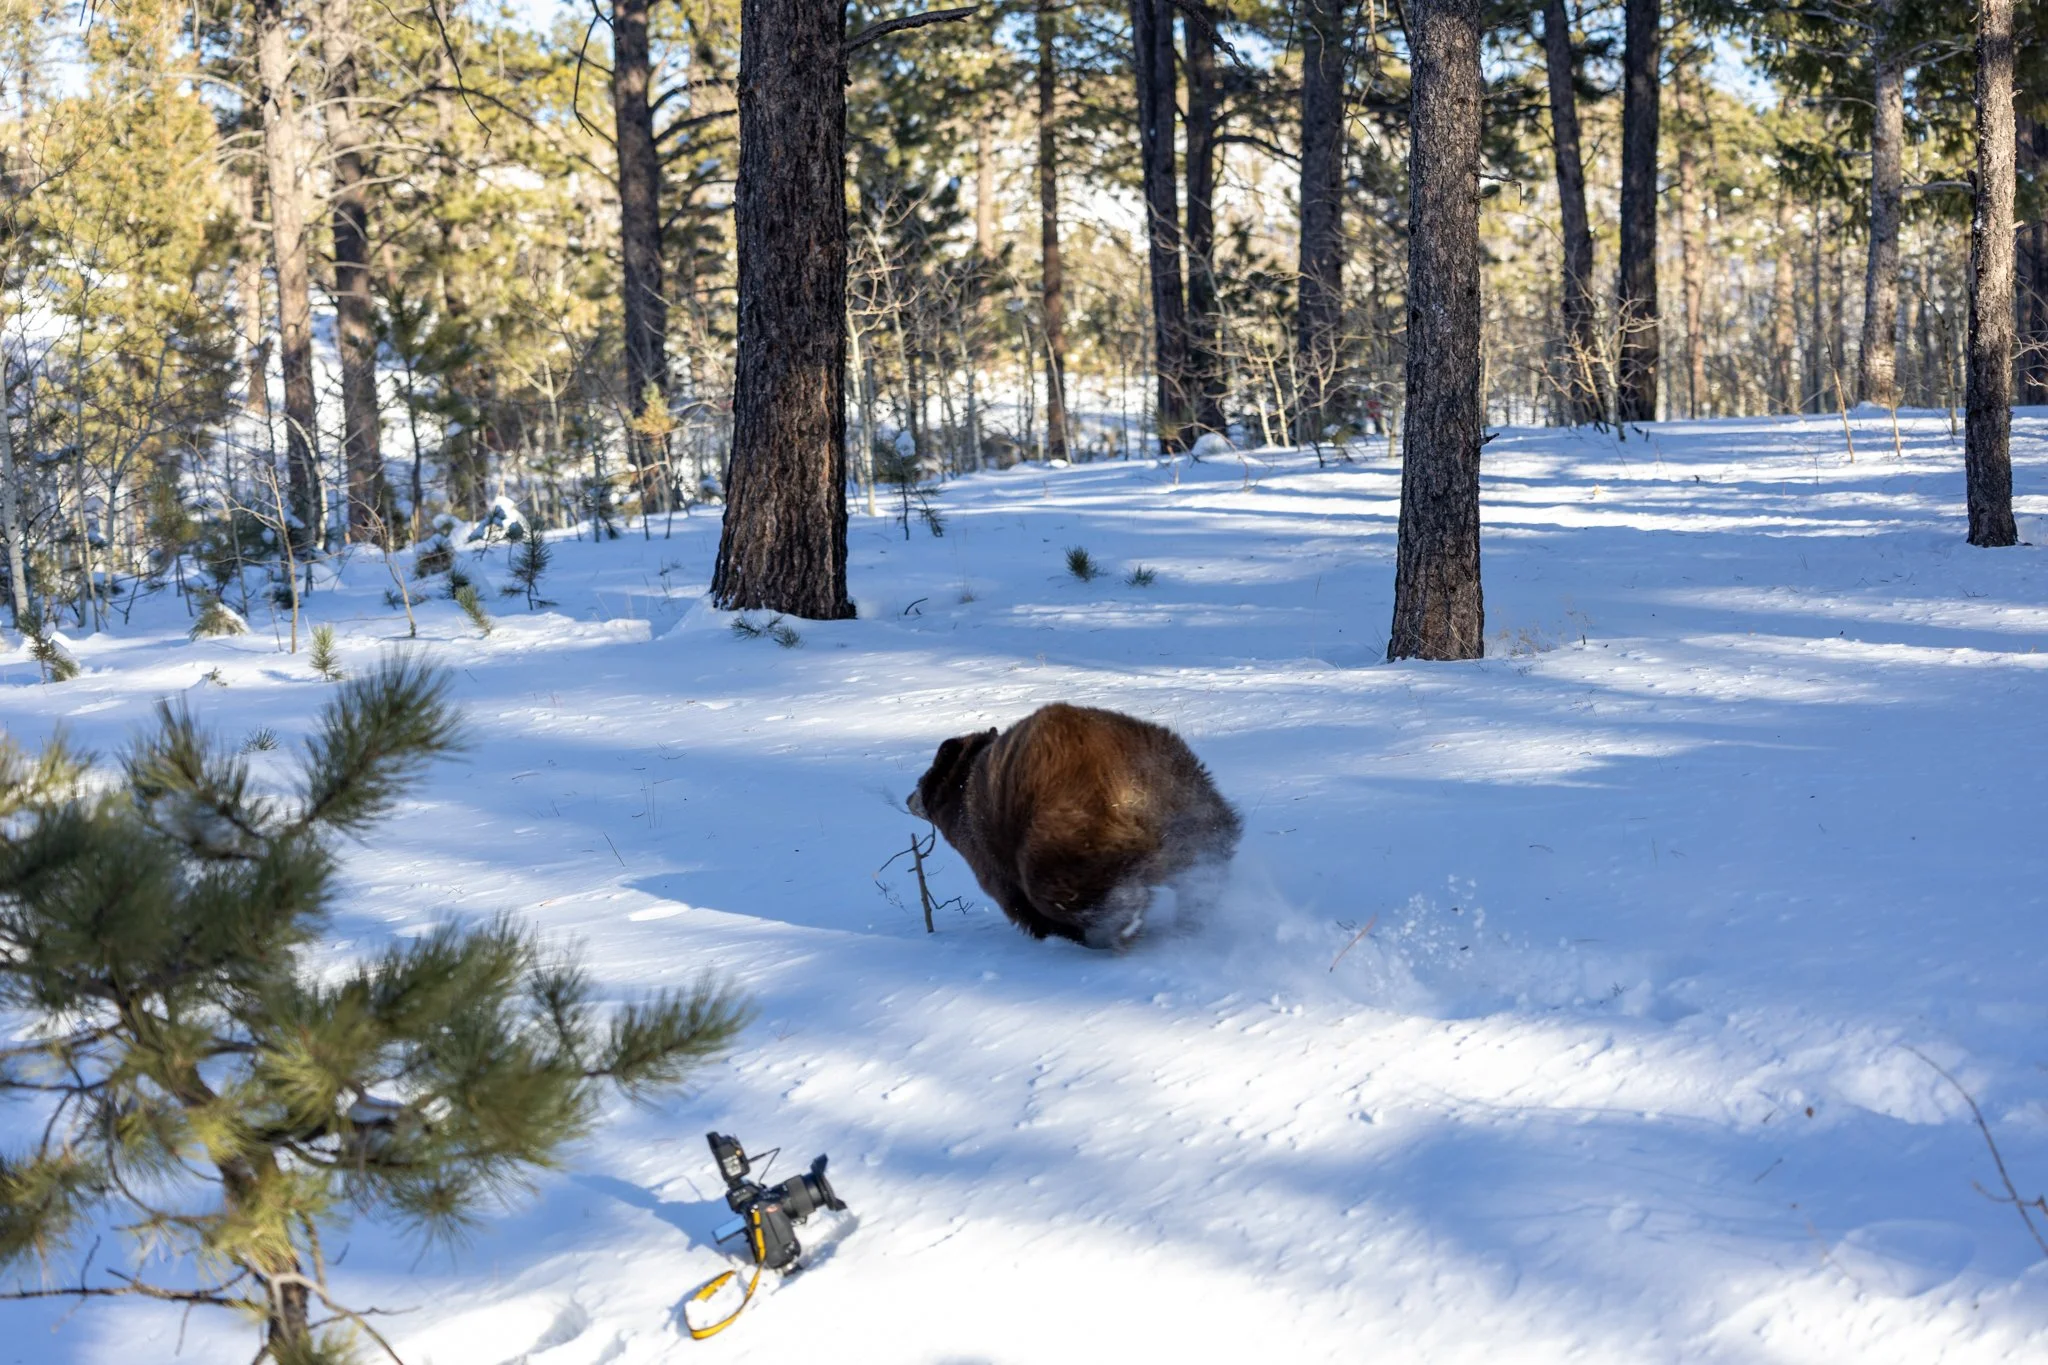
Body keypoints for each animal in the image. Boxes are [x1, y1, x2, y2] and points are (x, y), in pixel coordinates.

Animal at [907, 703, 1241, 948]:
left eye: (924, 778)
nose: (910, 798)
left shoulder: (989, 854)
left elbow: (1018, 902)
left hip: (1065, 829)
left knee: (1062, 884)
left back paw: (1115, 922)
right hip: (1191, 798)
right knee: (1206, 863)